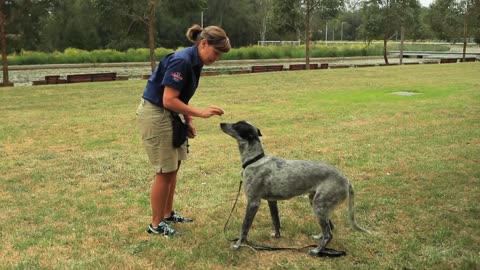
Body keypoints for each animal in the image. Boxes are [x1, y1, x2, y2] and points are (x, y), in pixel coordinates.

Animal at [219, 121, 370, 256]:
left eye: (237, 125)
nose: (221, 123)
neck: (255, 160)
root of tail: (346, 180)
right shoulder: (271, 201)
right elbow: (276, 221)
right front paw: (277, 236)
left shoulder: (253, 203)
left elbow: (244, 228)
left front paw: (238, 245)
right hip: (316, 203)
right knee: (330, 228)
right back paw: (318, 239)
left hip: (319, 206)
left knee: (329, 234)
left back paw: (316, 251)